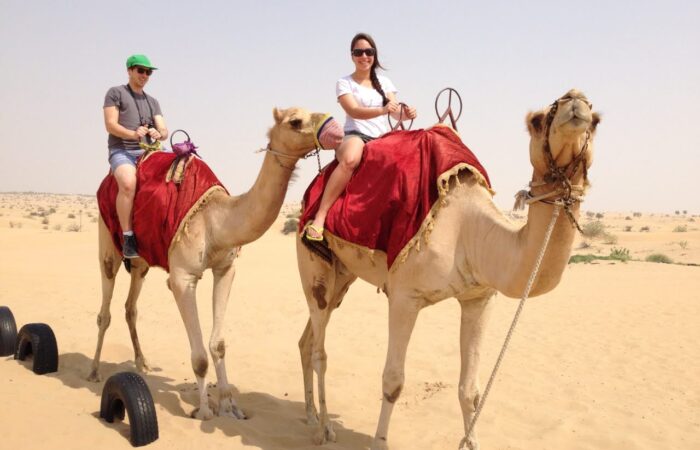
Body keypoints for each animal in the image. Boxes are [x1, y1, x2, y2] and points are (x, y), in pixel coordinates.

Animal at [88, 107, 338, 420]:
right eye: (295, 121)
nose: (335, 128)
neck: (216, 221)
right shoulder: (182, 278)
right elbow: (199, 358)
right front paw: (204, 411)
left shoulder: (225, 269)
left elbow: (218, 345)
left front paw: (230, 406)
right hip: (107, 240)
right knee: (105, 308)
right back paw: (94, 370)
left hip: (141, 262)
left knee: (130, 307)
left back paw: (142, 363)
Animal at [295, 90, 600, 449]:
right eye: (537, 121)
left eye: (596, 120)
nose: (575, 100)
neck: (469, 232)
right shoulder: (404, 296)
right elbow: (393, 381)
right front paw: (379, 441)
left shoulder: (479, 297)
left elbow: (470, 391)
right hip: (312, 262)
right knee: (319, 346)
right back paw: (322, 429)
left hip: (343, 274)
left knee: (308, 339)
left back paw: (311, 416)